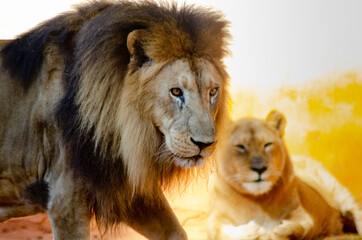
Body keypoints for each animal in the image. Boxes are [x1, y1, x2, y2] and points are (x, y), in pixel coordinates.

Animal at [0, 0, 230, 239]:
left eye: (213, 91)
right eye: (176, 91)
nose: (204, 144)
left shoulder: (127, 189)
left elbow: (176, 232)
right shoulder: (64, 201)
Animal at [208, 111, 360, 240]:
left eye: (267, 145)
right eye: (240, 147)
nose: (260, 168)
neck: (258, 200)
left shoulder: (302, 212)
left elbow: (304, 225)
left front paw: (279, 230)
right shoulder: (214, 219)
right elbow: (220, 232)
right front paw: (256, 231)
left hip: (337, 190)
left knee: (356, 210)